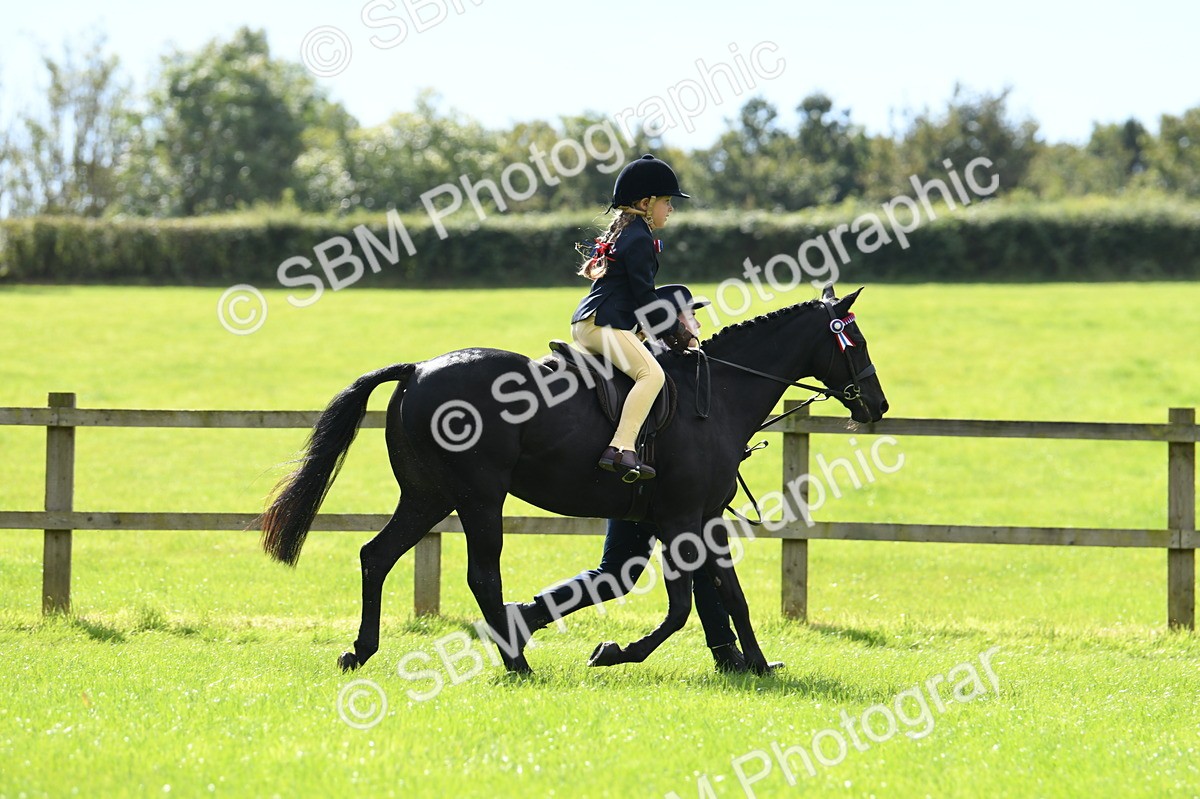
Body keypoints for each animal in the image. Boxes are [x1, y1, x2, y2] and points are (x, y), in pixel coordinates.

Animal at [259, 285, 888, 675]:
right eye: (853, 341)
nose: (877, 406)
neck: (717, 396)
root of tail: (417, 369)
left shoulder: (695, 521)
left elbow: (724, 595)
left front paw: (752, 663)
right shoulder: (681, 519)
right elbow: (683, 605)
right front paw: (617, 651)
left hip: (426, 496)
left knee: (377, 555)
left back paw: (362, 652)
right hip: (477, 498)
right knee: (480, 574)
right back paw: (516, 661)